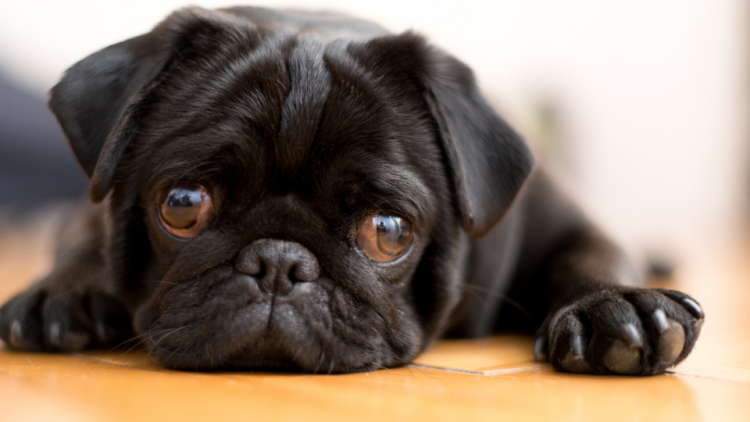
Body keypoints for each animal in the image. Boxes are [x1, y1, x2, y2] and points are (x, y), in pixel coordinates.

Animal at [0, 6, 704, 374]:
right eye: (183, 205)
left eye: (387, 231)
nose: (278, 262)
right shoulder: (88, 209)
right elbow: (86, 241)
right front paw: (66, 293)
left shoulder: (568, 220)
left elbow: (590, 252)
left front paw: (616, 306)